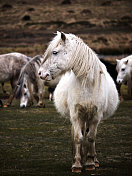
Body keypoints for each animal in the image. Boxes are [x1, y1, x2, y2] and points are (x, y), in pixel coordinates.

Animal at [38, 31, 119, 172]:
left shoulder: (96, 116)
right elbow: (78, 138)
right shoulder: (76, 115)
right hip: (81, 117)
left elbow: (91, 138)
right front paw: (76, 164)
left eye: (54, 52)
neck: (87, 85)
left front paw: (90, 163)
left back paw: (94, 160)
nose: (40, 73)